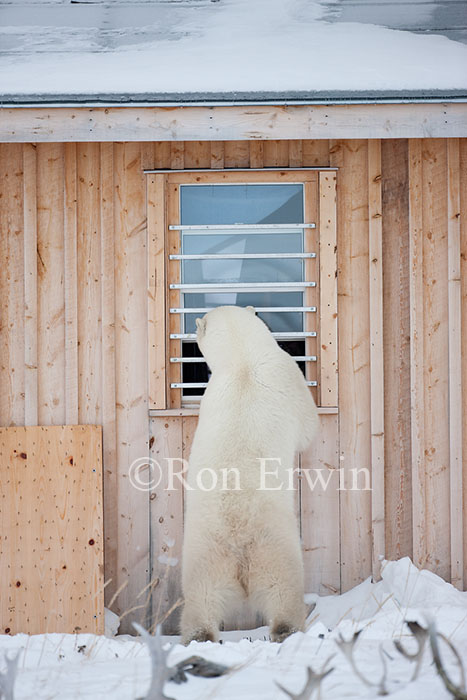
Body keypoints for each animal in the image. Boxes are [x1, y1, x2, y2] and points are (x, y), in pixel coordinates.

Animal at [179, 304, 318, 644]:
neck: (242, 360)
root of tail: (238, 545)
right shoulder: (287, 373)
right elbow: (308, 425)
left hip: (204, 556)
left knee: (201, 599)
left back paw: (199, 636)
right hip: (274, 546)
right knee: (283, 589)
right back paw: (288, 628)